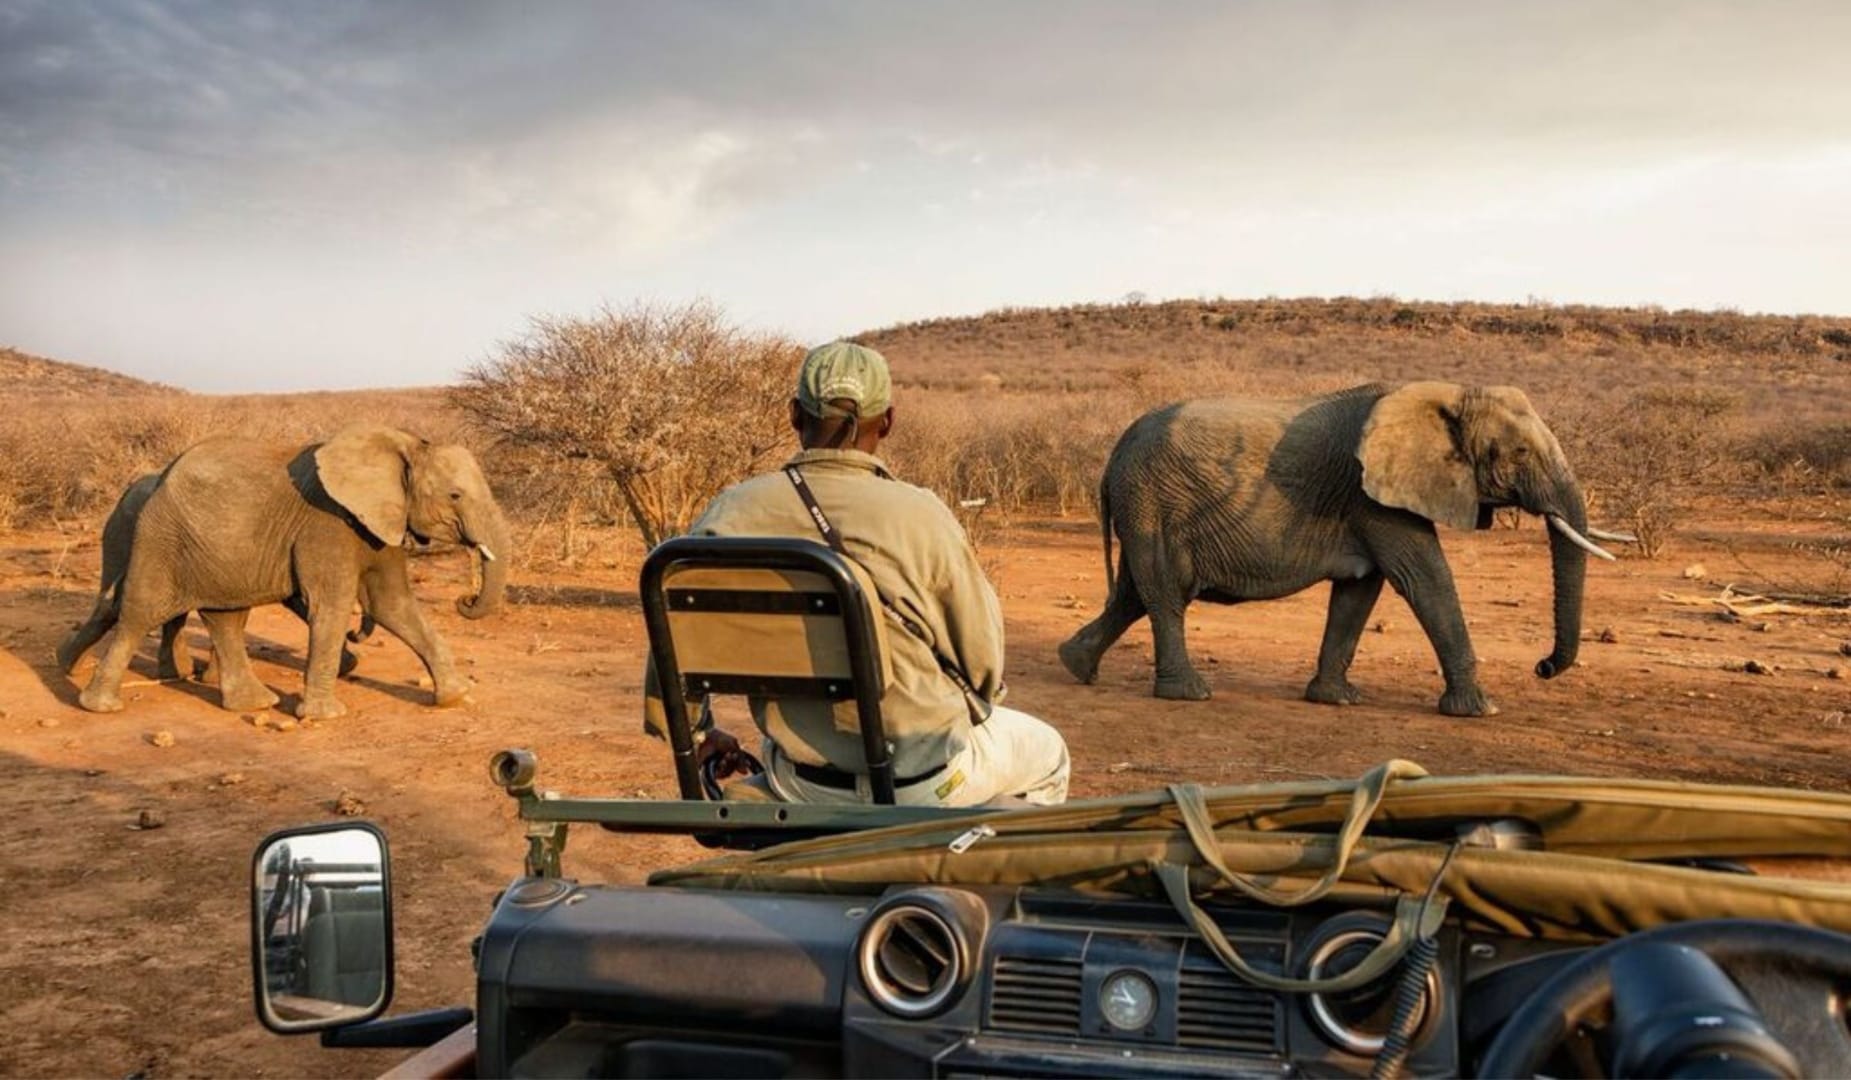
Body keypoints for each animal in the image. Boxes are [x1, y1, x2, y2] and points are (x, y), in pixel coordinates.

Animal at [1058, 381, 1632, 716]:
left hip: (1144, 507)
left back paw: (1076, 666)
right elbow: (1425, 579)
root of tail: (1112, 458)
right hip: (1151, 502)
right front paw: (1478, 710)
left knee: (1134, 593)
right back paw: (1190, 693)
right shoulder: (1373, 496)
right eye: (1518, 453)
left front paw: (1336, 700)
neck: (1449, 395)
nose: (1543, 667)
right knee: (1164, 593)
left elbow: (1360, 591)